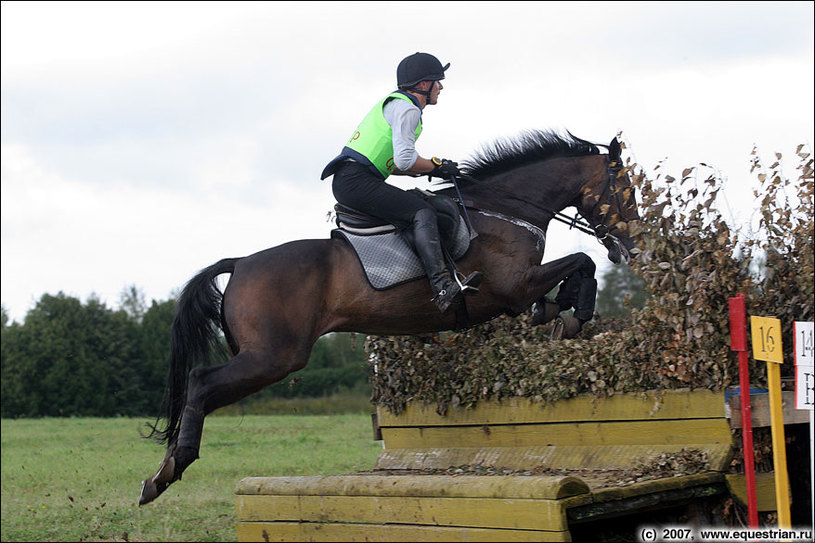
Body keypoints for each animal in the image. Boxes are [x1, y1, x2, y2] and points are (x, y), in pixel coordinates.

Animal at [137, 129, 640, 506]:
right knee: (200, 381)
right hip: (273, 356)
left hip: (266, 356)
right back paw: (168, 471)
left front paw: (558, 311)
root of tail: (240, 262)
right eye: (627, 190)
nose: (632, 247)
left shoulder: (517, 292)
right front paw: (573, 314)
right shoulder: (514, 287)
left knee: (200, 388)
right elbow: (582, 262)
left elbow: (575, 273)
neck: (507, 209)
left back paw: (163, 470)